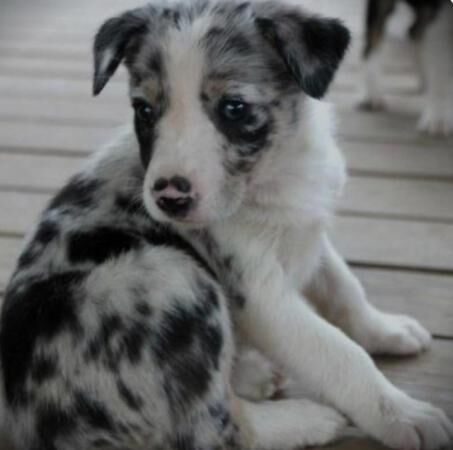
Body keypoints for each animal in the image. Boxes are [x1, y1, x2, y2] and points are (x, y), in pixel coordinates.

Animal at [1, 0, 450, 450]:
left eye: (234, 107)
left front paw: (386, 329)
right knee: (216, 429)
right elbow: (338, 353)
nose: (169, 197)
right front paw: (402, 414)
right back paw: (305, 418)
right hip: (171, 276)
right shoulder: (259, 294)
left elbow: (345, 289)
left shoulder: (310, 233)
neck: (279, 170)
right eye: (144, 110)